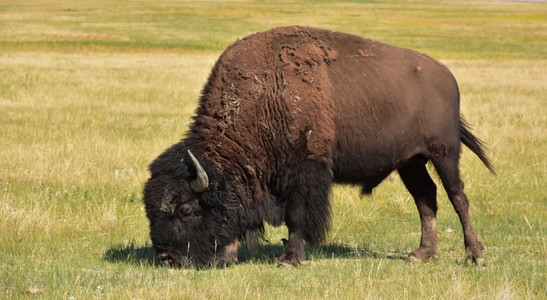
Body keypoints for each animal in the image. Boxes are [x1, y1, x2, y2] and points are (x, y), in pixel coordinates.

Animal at [143, 25, 494, 268]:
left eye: (185, 210)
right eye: (149, 209)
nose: (167, 258)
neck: (265, 97)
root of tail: (447, 76)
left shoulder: (305, 172)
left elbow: (296, 216)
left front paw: (288, 259)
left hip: (443, 153)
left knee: (457, 197)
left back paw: (474, 256)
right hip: (410, 162)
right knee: (426, 198)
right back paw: (421, 253)